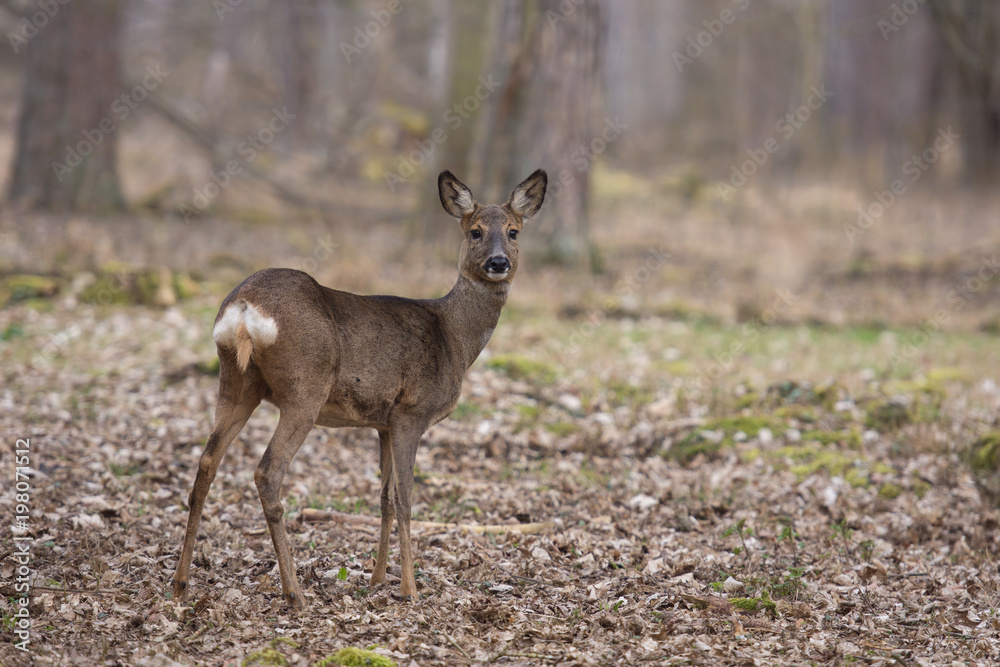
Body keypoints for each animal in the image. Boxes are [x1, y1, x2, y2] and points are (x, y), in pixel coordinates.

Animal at [172, 168, 548, 612]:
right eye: (475, 231)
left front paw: (377, 579)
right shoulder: (412, 412)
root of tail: (244, 310)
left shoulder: (383, 422)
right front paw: (409, 589)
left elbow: (383, 498)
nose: (498, 262)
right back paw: (294, 591)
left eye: (513, 231)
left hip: (234, 379)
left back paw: (180, 583)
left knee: (207, 462)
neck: (454, 339)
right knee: (267, 471)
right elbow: (405, 498)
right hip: (305, 387)